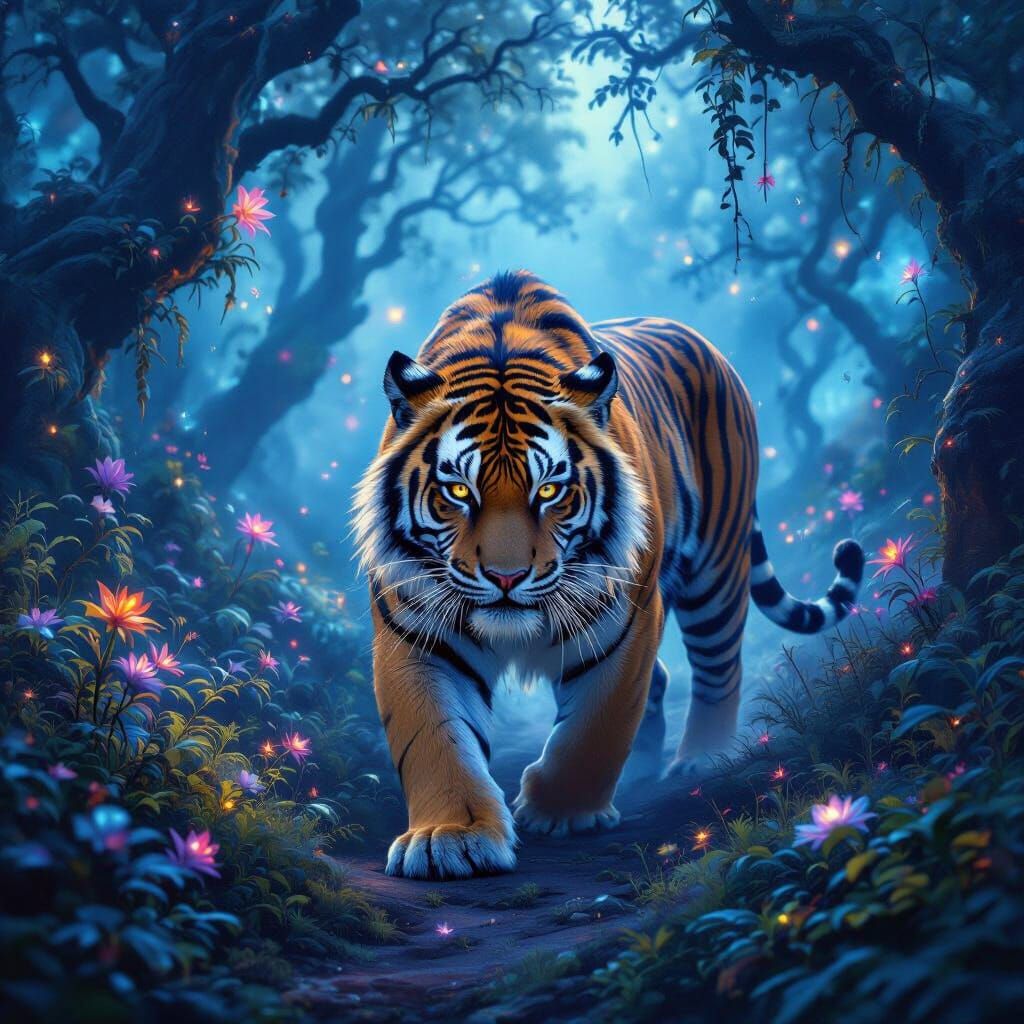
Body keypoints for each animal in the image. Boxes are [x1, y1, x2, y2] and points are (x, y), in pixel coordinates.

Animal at [354, 270, 863, 880]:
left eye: (549, 490)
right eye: (458, 490)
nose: (506, 577)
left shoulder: (626, 618)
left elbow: (597, 724)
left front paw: (562, 811)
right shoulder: (414, 632)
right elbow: (434, 738)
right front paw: (450, 838)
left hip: (715, 568)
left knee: (718, 667)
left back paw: (703, 759)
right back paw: (644, 767)